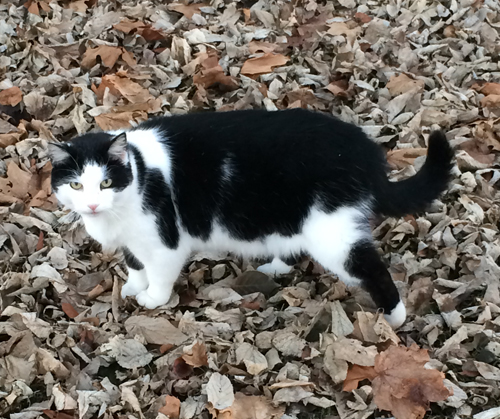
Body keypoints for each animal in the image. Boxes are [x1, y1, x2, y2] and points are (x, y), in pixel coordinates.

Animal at [48, 110, 456, 330]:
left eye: (106, 182)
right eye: (75, 184)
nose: (92, 205)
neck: (140, 170)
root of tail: (367, 153)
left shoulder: (165, 240)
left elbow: (160, 272)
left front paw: (153, 298)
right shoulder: (132, 240)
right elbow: (135, 262)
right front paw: (134, 286)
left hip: (331, 231)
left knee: (372, 268)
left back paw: (393, 319)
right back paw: (274, 265)